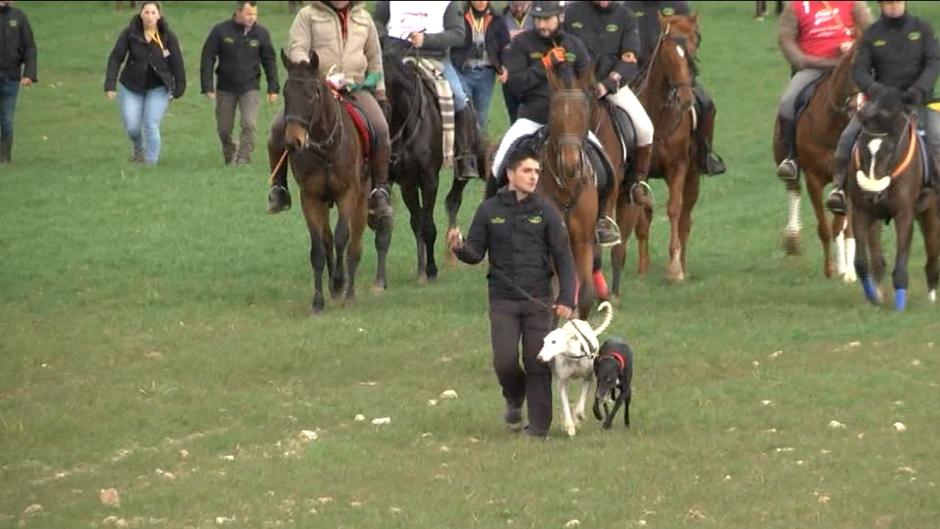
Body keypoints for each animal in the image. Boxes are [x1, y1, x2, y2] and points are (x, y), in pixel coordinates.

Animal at [276, 50, 368, 314]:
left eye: (311, 94)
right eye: (285, 93)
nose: (292, 141)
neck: (327, 149)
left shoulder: (348, 194)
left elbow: (342, 237)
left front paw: (338, 283)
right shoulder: (310, 197)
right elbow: (318, 247)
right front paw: (318, 301)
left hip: (363, 199)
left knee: (354, 245)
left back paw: (348, 291)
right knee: (326, 239)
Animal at [772, 44, 860, 280]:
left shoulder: (848, 183)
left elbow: (843, 226)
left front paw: (848, 272)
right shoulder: (814, 178)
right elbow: (825, 227)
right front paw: (829, 269)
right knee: (793, 189)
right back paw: (792, 239)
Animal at [848, 93, 936, 312]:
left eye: (890, 149)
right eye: (861, 145)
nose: (872, 193)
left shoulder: (904, 214)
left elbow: (901, 260)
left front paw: (900, 303)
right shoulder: (861, 211)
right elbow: (861, 262)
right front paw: (874, 297)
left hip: (932, 213)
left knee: (933, 254)